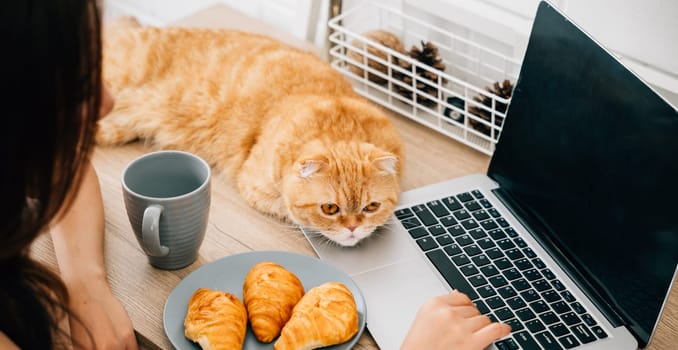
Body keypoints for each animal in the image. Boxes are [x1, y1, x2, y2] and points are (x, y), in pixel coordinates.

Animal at [97, 19, 404, 246]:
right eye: (330, 208)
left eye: (371, 207)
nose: (353, 228)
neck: (339, 122)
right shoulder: (257, 187)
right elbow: (292, 210)